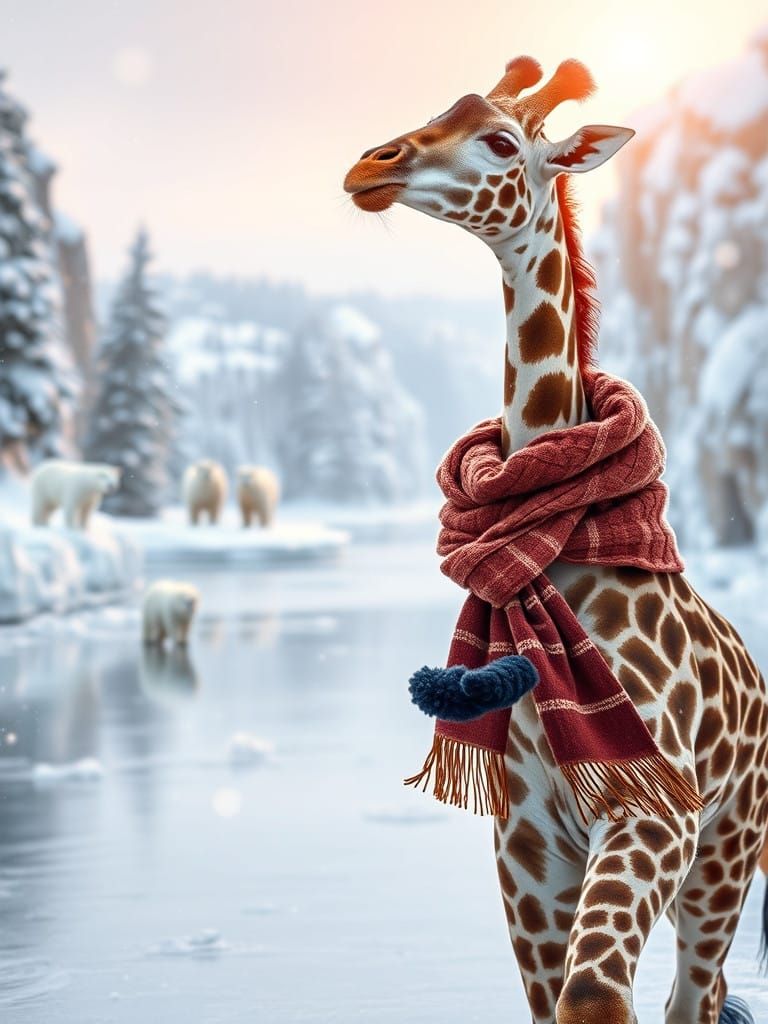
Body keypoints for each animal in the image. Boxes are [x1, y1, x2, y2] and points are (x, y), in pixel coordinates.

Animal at [344, 57, 768, 1024]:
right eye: (440, 107)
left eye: (503, 141)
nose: (368, 167)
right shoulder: (527, 846)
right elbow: (563, 1004)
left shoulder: (650, 811)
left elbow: (596, 996)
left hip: (725, 855)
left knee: (695, 997)